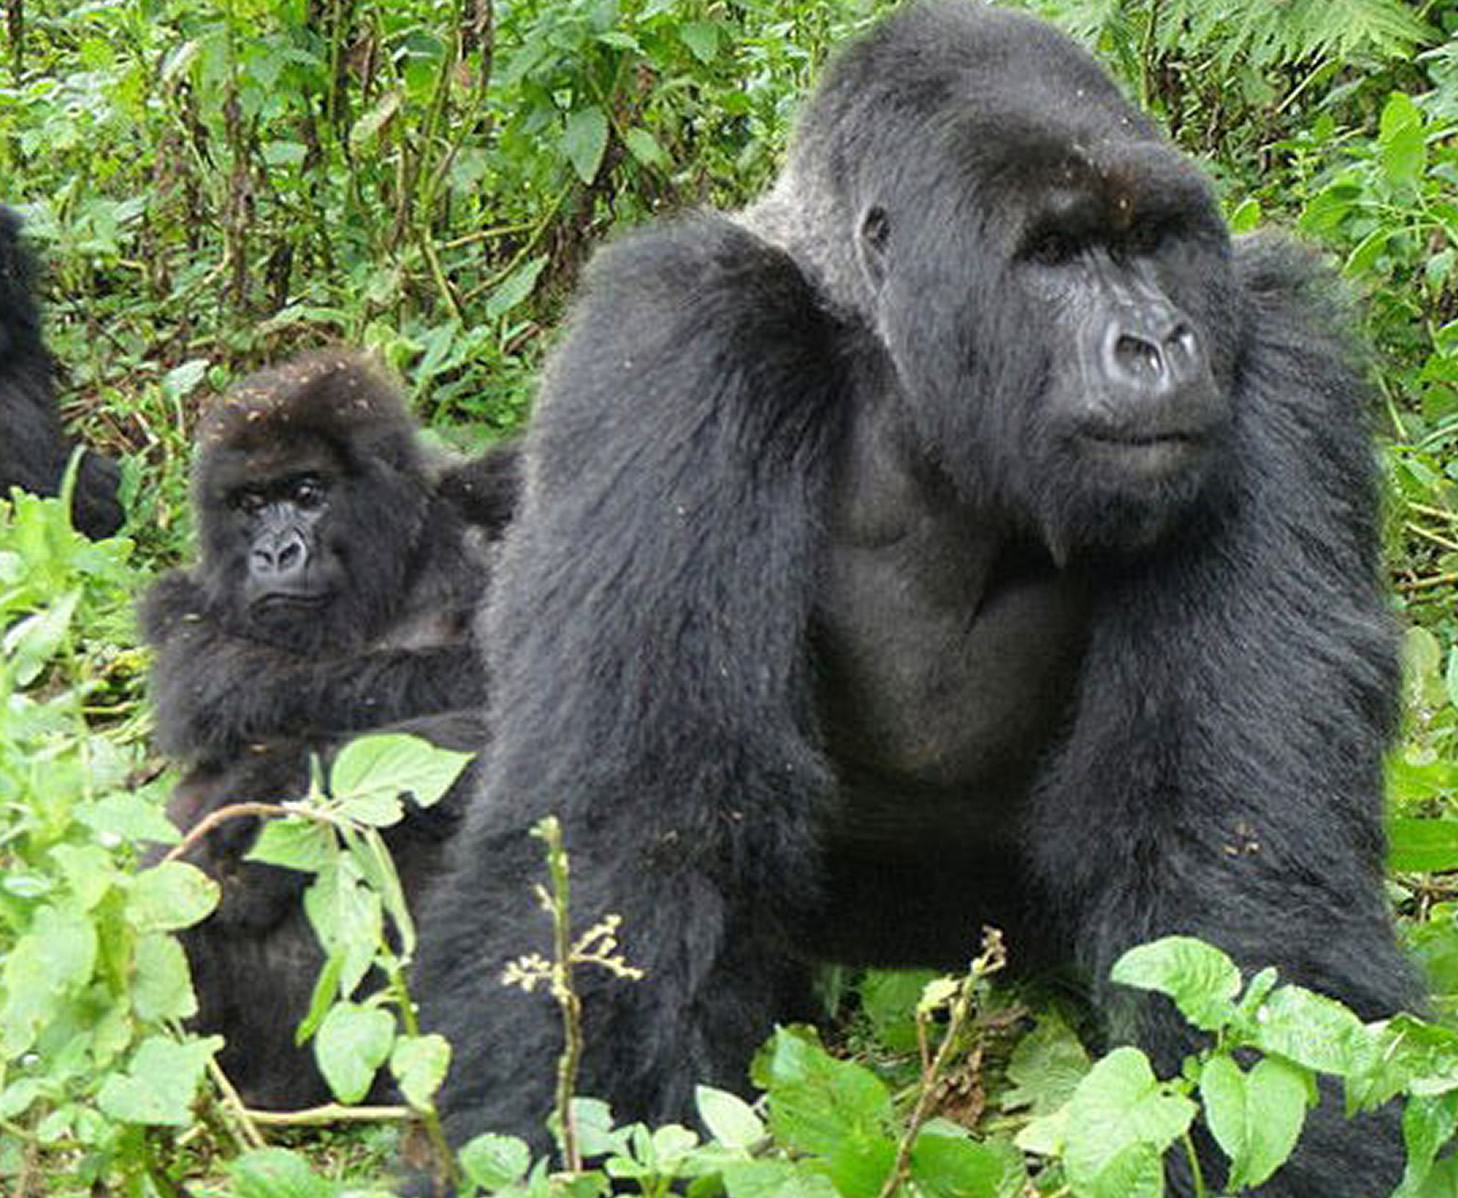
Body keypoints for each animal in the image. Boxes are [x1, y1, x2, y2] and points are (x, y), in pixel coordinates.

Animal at [416, 4, 1417, 1195]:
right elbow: (633, 818)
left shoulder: (1275, 355)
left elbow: (1240, 875)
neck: (905, 383)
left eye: (1154, 241)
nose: (1160, 341)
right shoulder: (680, 331)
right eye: (1055, 253)